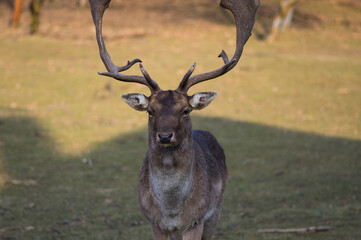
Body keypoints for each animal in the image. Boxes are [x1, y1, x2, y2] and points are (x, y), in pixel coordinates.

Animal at [87, 0, 258, 239]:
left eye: (185, 110)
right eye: (150, 111)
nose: (165, 136)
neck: (171, 212)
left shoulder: (196, 221)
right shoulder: (154, 222)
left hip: (217, 209)